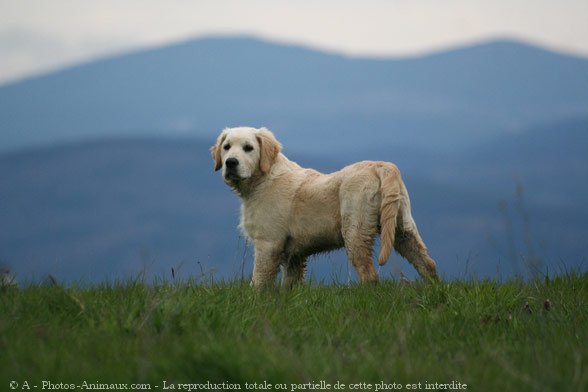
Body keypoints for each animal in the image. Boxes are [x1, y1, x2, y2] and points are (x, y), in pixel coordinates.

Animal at [210, 126, 436, 288]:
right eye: (226, 147)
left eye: (248, 148)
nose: (230, 163)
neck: (263, 178)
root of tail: (381, 166)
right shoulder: (294, 254)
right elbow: (289, 284)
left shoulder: (268, 243)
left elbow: (258, 282)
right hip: (402, 228)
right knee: (427, 263)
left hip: (356, 231)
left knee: (369, 274)